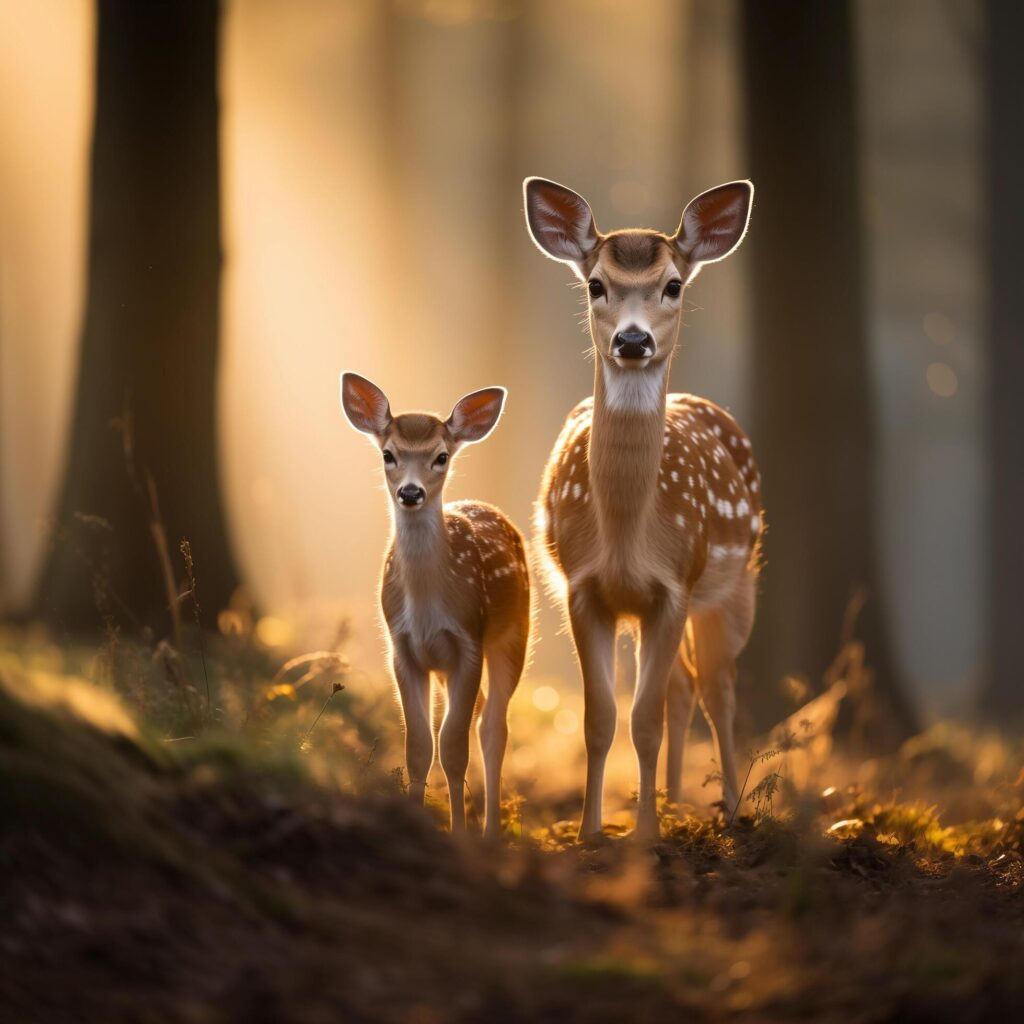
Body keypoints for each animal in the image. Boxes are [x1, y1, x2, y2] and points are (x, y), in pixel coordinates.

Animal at [342, 376, 532, 839]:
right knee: (482, 716)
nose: (411, 492)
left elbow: (453, 748)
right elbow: (419, 748)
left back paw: (491, 833)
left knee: (493, 727)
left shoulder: (468, 640)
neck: (428, 606)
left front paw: (460, 834)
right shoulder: (403, 650)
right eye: (388, 454)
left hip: (514, 634)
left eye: (441, 456)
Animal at [528, 176, 761, 835]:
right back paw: (679, 799)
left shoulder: (675, 584)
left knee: (718, 686)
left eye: (673, 284)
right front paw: (591, 832)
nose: (633, 340)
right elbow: (601, 719)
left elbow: (644, 720)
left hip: (734, 583)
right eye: (595, 284)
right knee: (684, 686)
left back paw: (727, 809)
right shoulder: (584, 587)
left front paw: (646, 835)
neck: (629, 534)